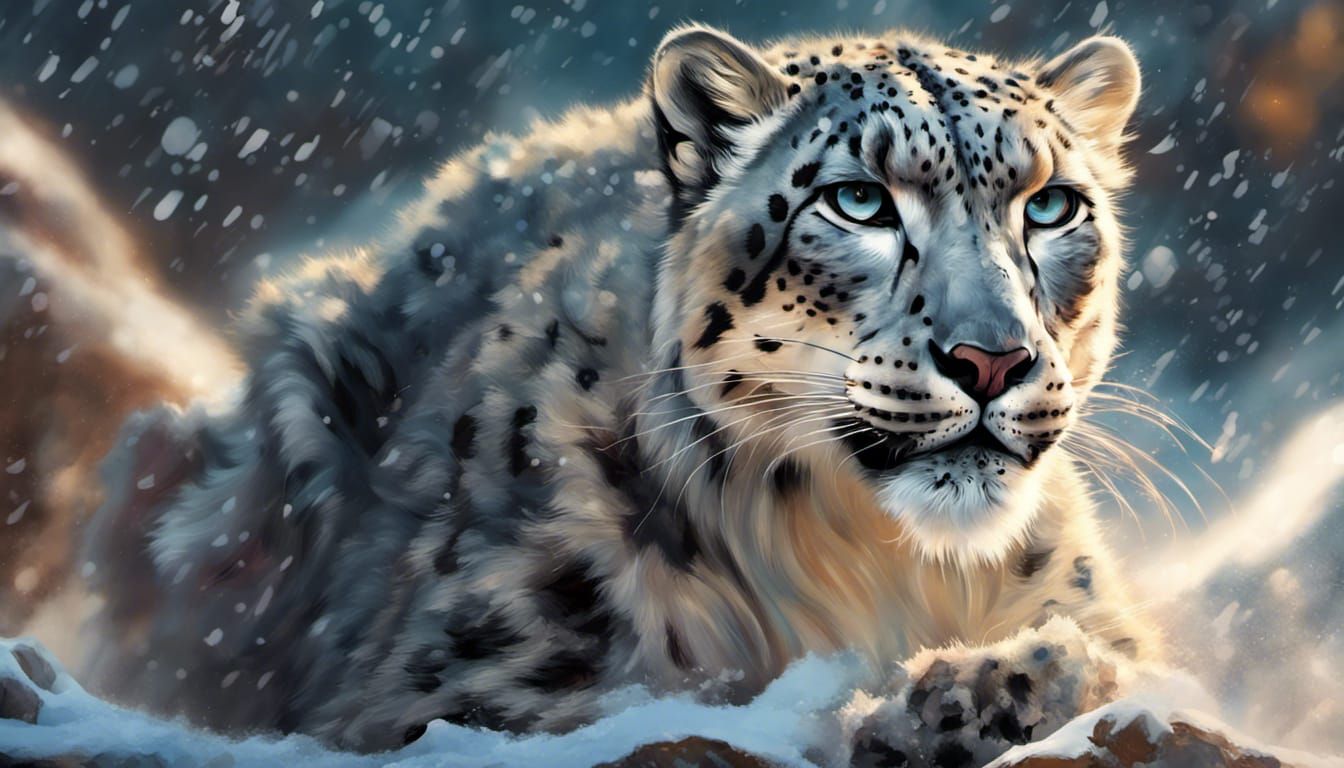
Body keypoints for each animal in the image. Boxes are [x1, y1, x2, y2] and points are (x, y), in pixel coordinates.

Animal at [83, 23, 1152, 760]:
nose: (992, 360)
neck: (882, 563)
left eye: (1051, 206)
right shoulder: (469, 693)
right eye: (858, 200)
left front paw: (1009, 680)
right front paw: (950, 699)